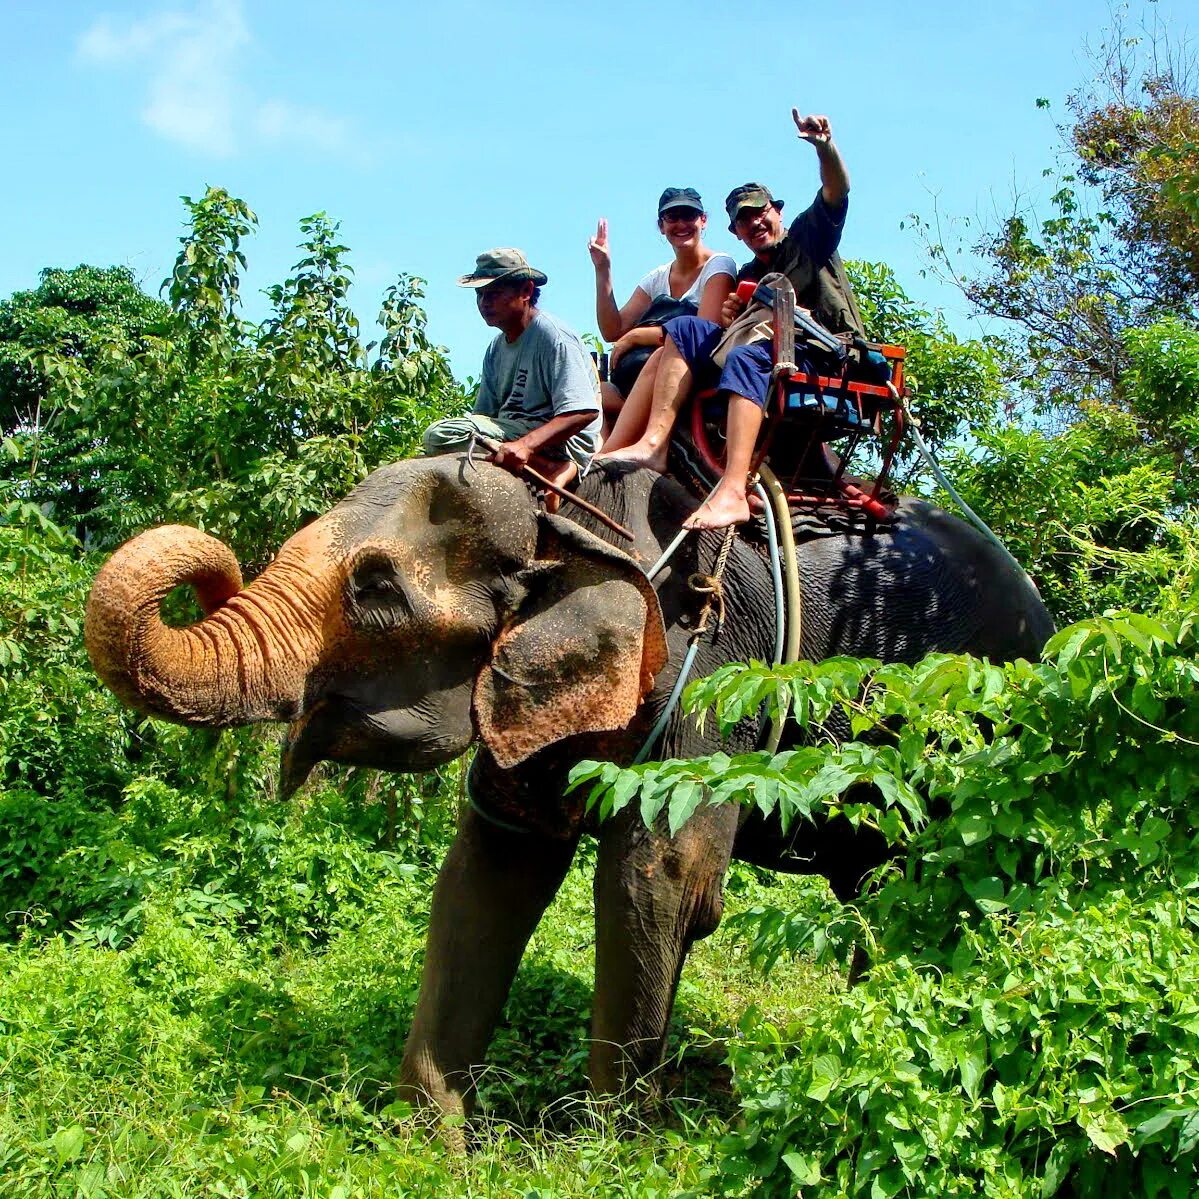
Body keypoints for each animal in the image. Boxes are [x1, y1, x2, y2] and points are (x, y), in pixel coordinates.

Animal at [88, 453, 1055, 1117]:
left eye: (376, 590)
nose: (210, 567)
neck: (570, 515)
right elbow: (489, 869)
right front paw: (427, 1141)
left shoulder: (708, 671)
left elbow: (657, 882)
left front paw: (611, 1145)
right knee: (881, 889)